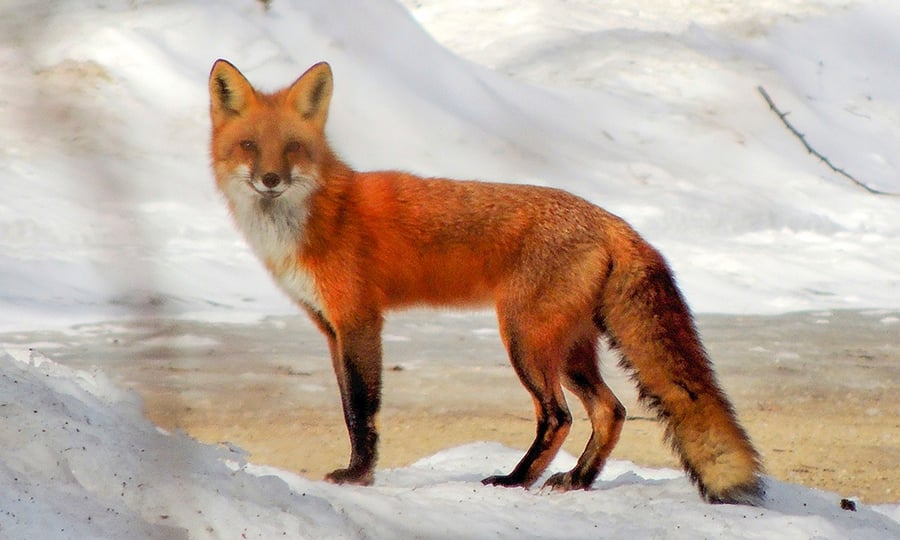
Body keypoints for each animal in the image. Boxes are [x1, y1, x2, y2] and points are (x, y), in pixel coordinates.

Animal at [208, 59, 764, 505]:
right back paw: (577, 481)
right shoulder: (331, 329)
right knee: (612, 410)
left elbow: (361, 409)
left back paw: (515, 480)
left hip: (523, 338)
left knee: (558, 416)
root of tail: (611, 220)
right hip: (569, 348)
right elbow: (348, 406)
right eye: (250, 146)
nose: (271, 180)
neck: (317, 216)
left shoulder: (360, 320)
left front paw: (359, 475)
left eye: (293, 148)